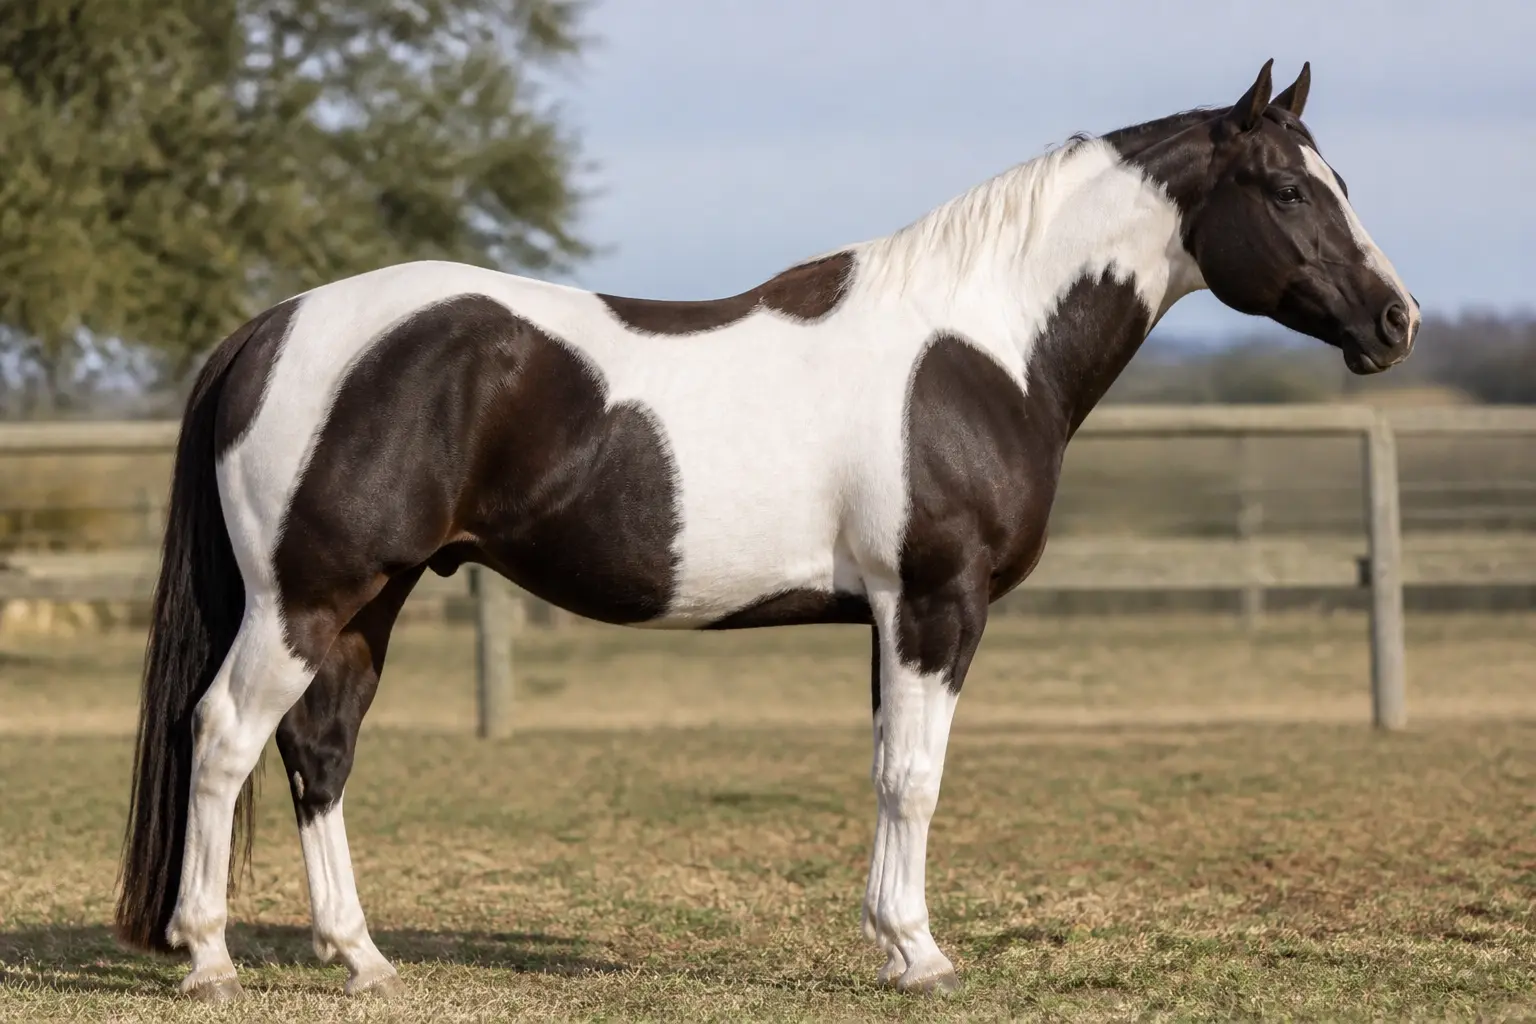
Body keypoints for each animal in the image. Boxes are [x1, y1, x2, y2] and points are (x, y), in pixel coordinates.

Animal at [114, 59, 1418, 1001]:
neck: (981, 344)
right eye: (1290, 191)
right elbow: (914, 777)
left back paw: (362, 957)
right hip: (307, 599)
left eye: (1347, 183)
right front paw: (921, 954)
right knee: (224, 736)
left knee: (319, 751)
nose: (1395, 320)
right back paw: (211, 957)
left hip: (365, 602)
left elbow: (888, 766)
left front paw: (894, 940)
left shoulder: (889, 615)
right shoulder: (936, 603)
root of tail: (275, 327)